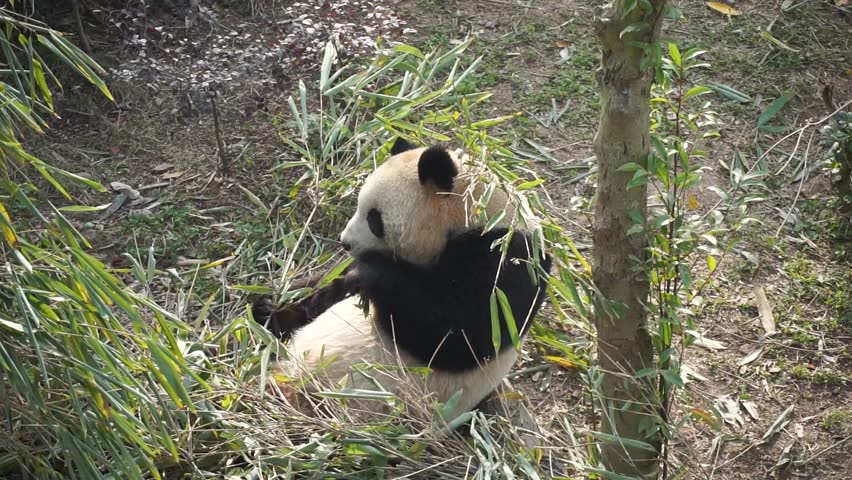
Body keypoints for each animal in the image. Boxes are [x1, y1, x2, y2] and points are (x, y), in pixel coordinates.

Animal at [253, 138, 552, 419]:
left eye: (374, 218)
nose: (345, 242)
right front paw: (282, 301)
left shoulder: (508, 261)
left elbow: (458, 335)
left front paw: (364, 272)